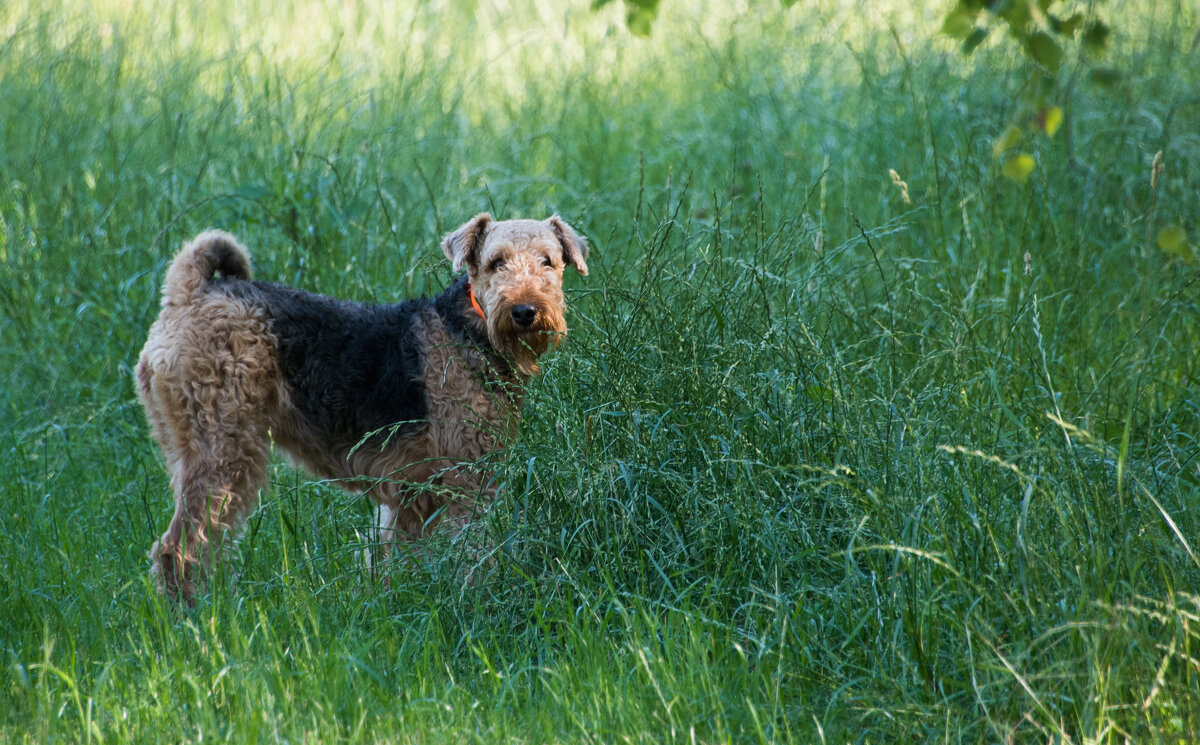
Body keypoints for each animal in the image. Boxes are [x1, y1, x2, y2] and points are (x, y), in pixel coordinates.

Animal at [138, 212, 588, 602]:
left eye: (548, 261)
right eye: (496, 262)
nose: (525, 311)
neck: (471, 329)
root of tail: (190, 293)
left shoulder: (413, 493)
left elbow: (395, 559)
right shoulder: (470, 480)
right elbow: (475, 552)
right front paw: (480, 598)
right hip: (224, 452)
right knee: (177, 549)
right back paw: (197, 619)